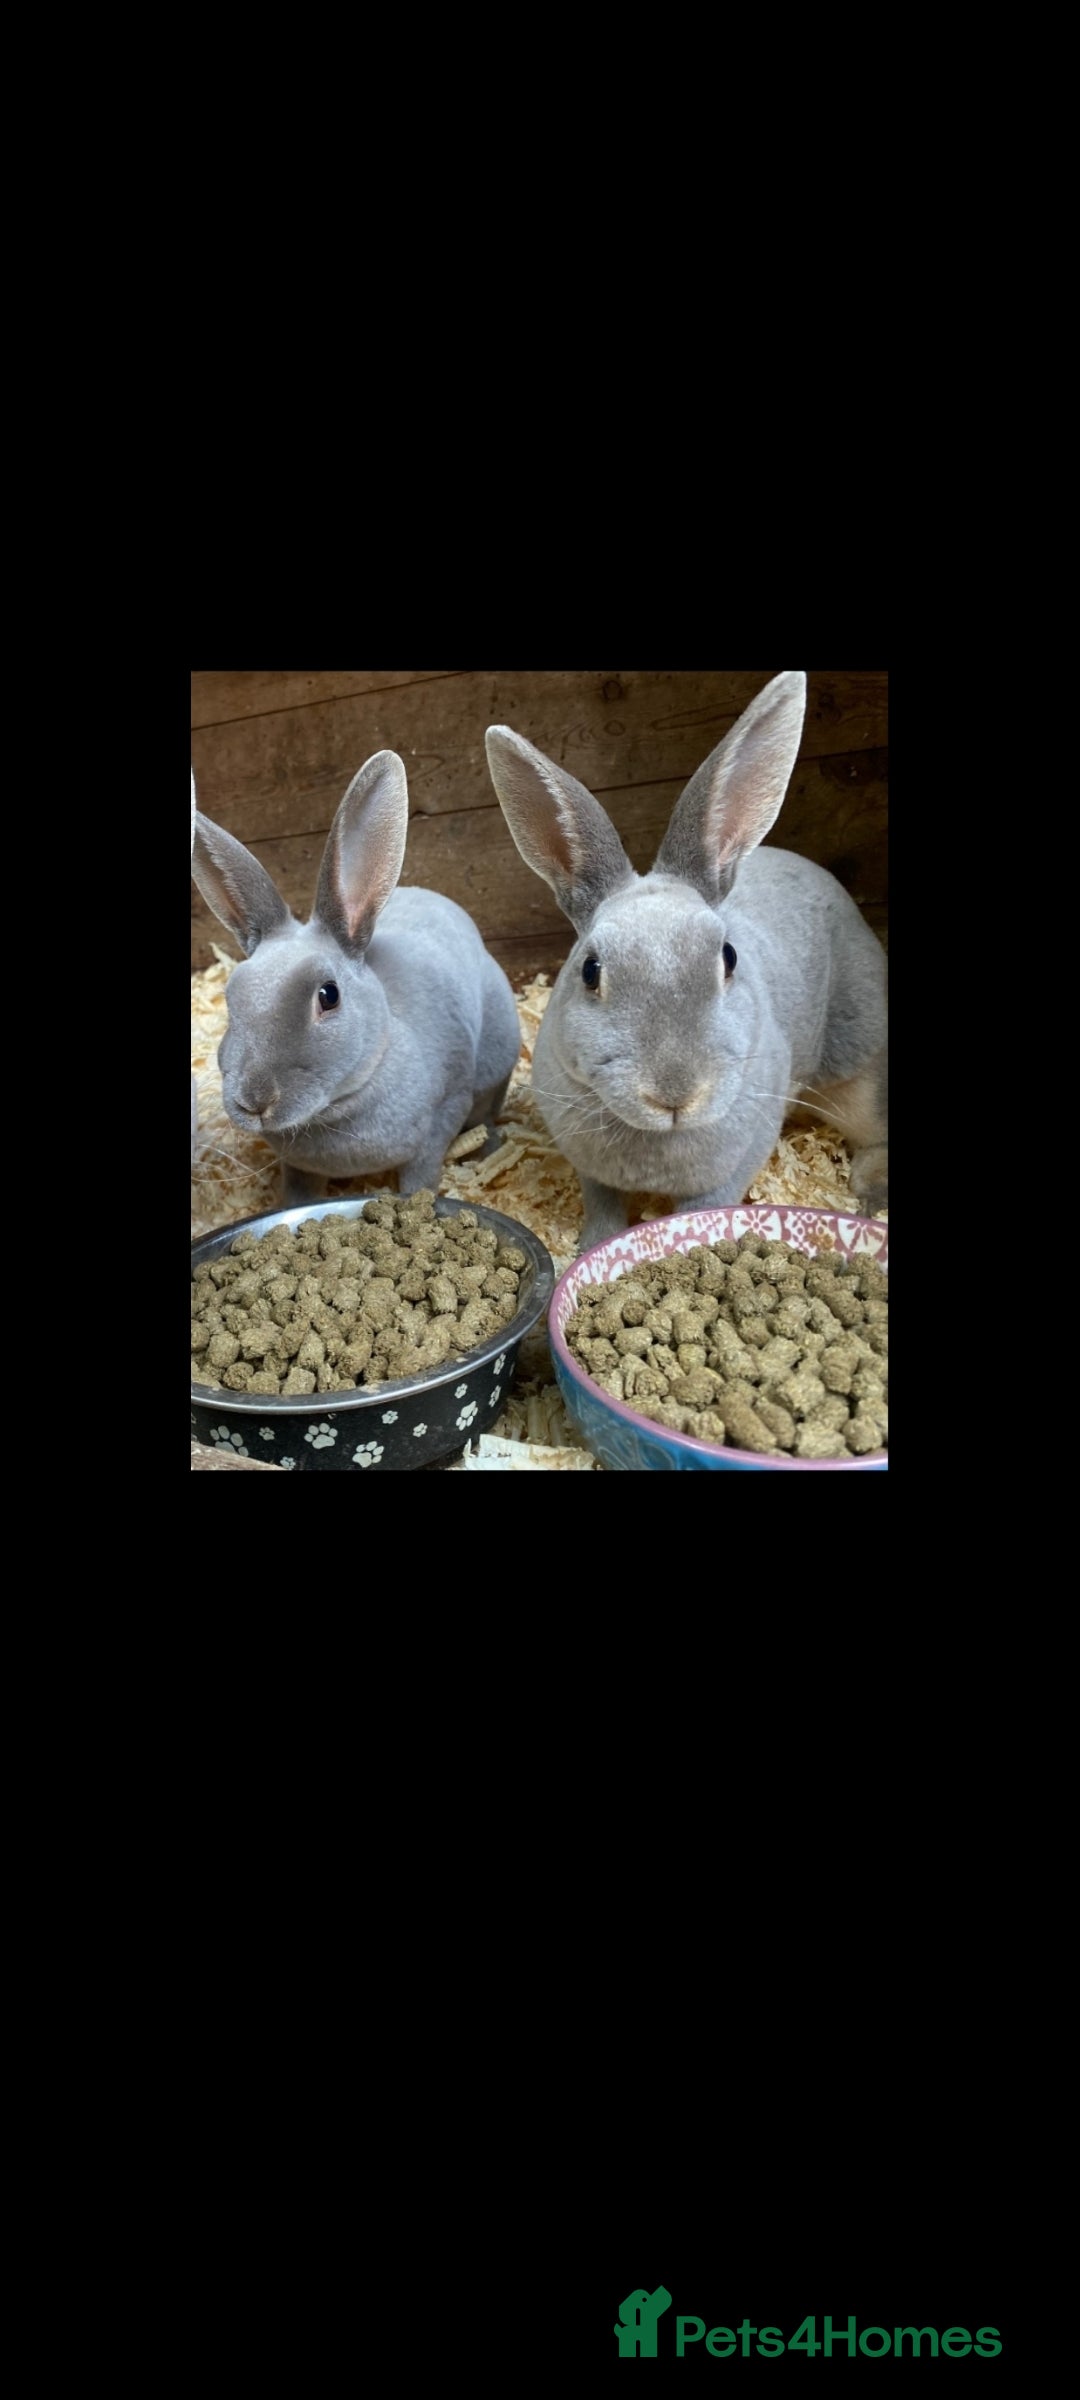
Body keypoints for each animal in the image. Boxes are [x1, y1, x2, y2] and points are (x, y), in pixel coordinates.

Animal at [190, 748, 522, 1207]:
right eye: (230, 999)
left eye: (328, 995)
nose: (254, 1101)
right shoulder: (298, 1167)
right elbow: (299, 1192)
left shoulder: (442, 1117)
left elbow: (421, 1177)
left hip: (495, 1063)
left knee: (487, 1111)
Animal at [484, 670, 887, 1253]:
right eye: (590, 970)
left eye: (729, 957)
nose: (675, 1094)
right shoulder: (592, 1173)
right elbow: (603, 1209)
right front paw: (589, 1247)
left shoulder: (731, 1168)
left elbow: (703, 1209)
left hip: (860, 1067)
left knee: (875, 1128)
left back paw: (872, 1193)